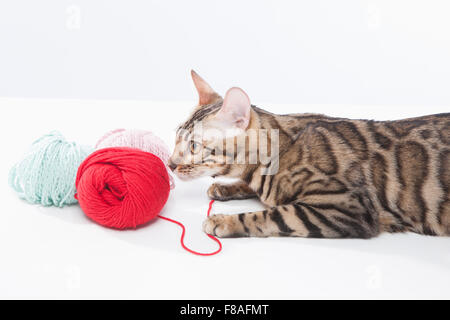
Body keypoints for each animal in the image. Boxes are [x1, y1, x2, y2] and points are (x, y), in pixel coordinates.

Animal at [167, 70, 448, 240]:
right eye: (177, 138)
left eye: (194, 146)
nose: (169, 164)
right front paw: (226, 187)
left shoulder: (346, 207)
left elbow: (270, 215)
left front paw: (224, 222)